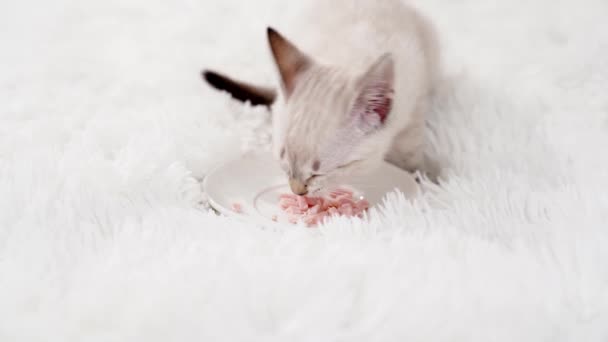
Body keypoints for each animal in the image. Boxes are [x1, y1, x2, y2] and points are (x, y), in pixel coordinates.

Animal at [204, 0, 442, 194]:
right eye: (284, 161)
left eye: (318, 173)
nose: (297, 191)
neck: (345, 54)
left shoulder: (414, 100)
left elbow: (408, 154)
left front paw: (417, 178)